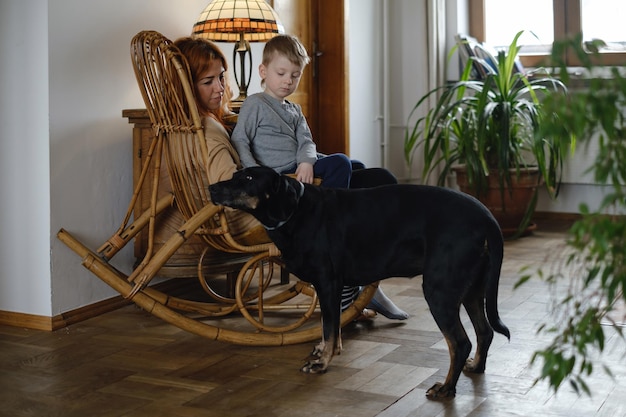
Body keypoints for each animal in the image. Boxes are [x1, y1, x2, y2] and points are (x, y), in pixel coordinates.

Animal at [207, 166, 510, 396]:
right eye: (235, 174)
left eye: (248, 178)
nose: (211, 188)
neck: (296, 210)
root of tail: (486, 217)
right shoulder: (330, 286)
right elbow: (330, 324)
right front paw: (325, 351)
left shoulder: (327, 282)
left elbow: (329, 326)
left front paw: (322, 363)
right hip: (471, 289)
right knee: (484, 332)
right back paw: (476, 367)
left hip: (440, 290)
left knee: (460, 342)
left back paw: (446, 389)